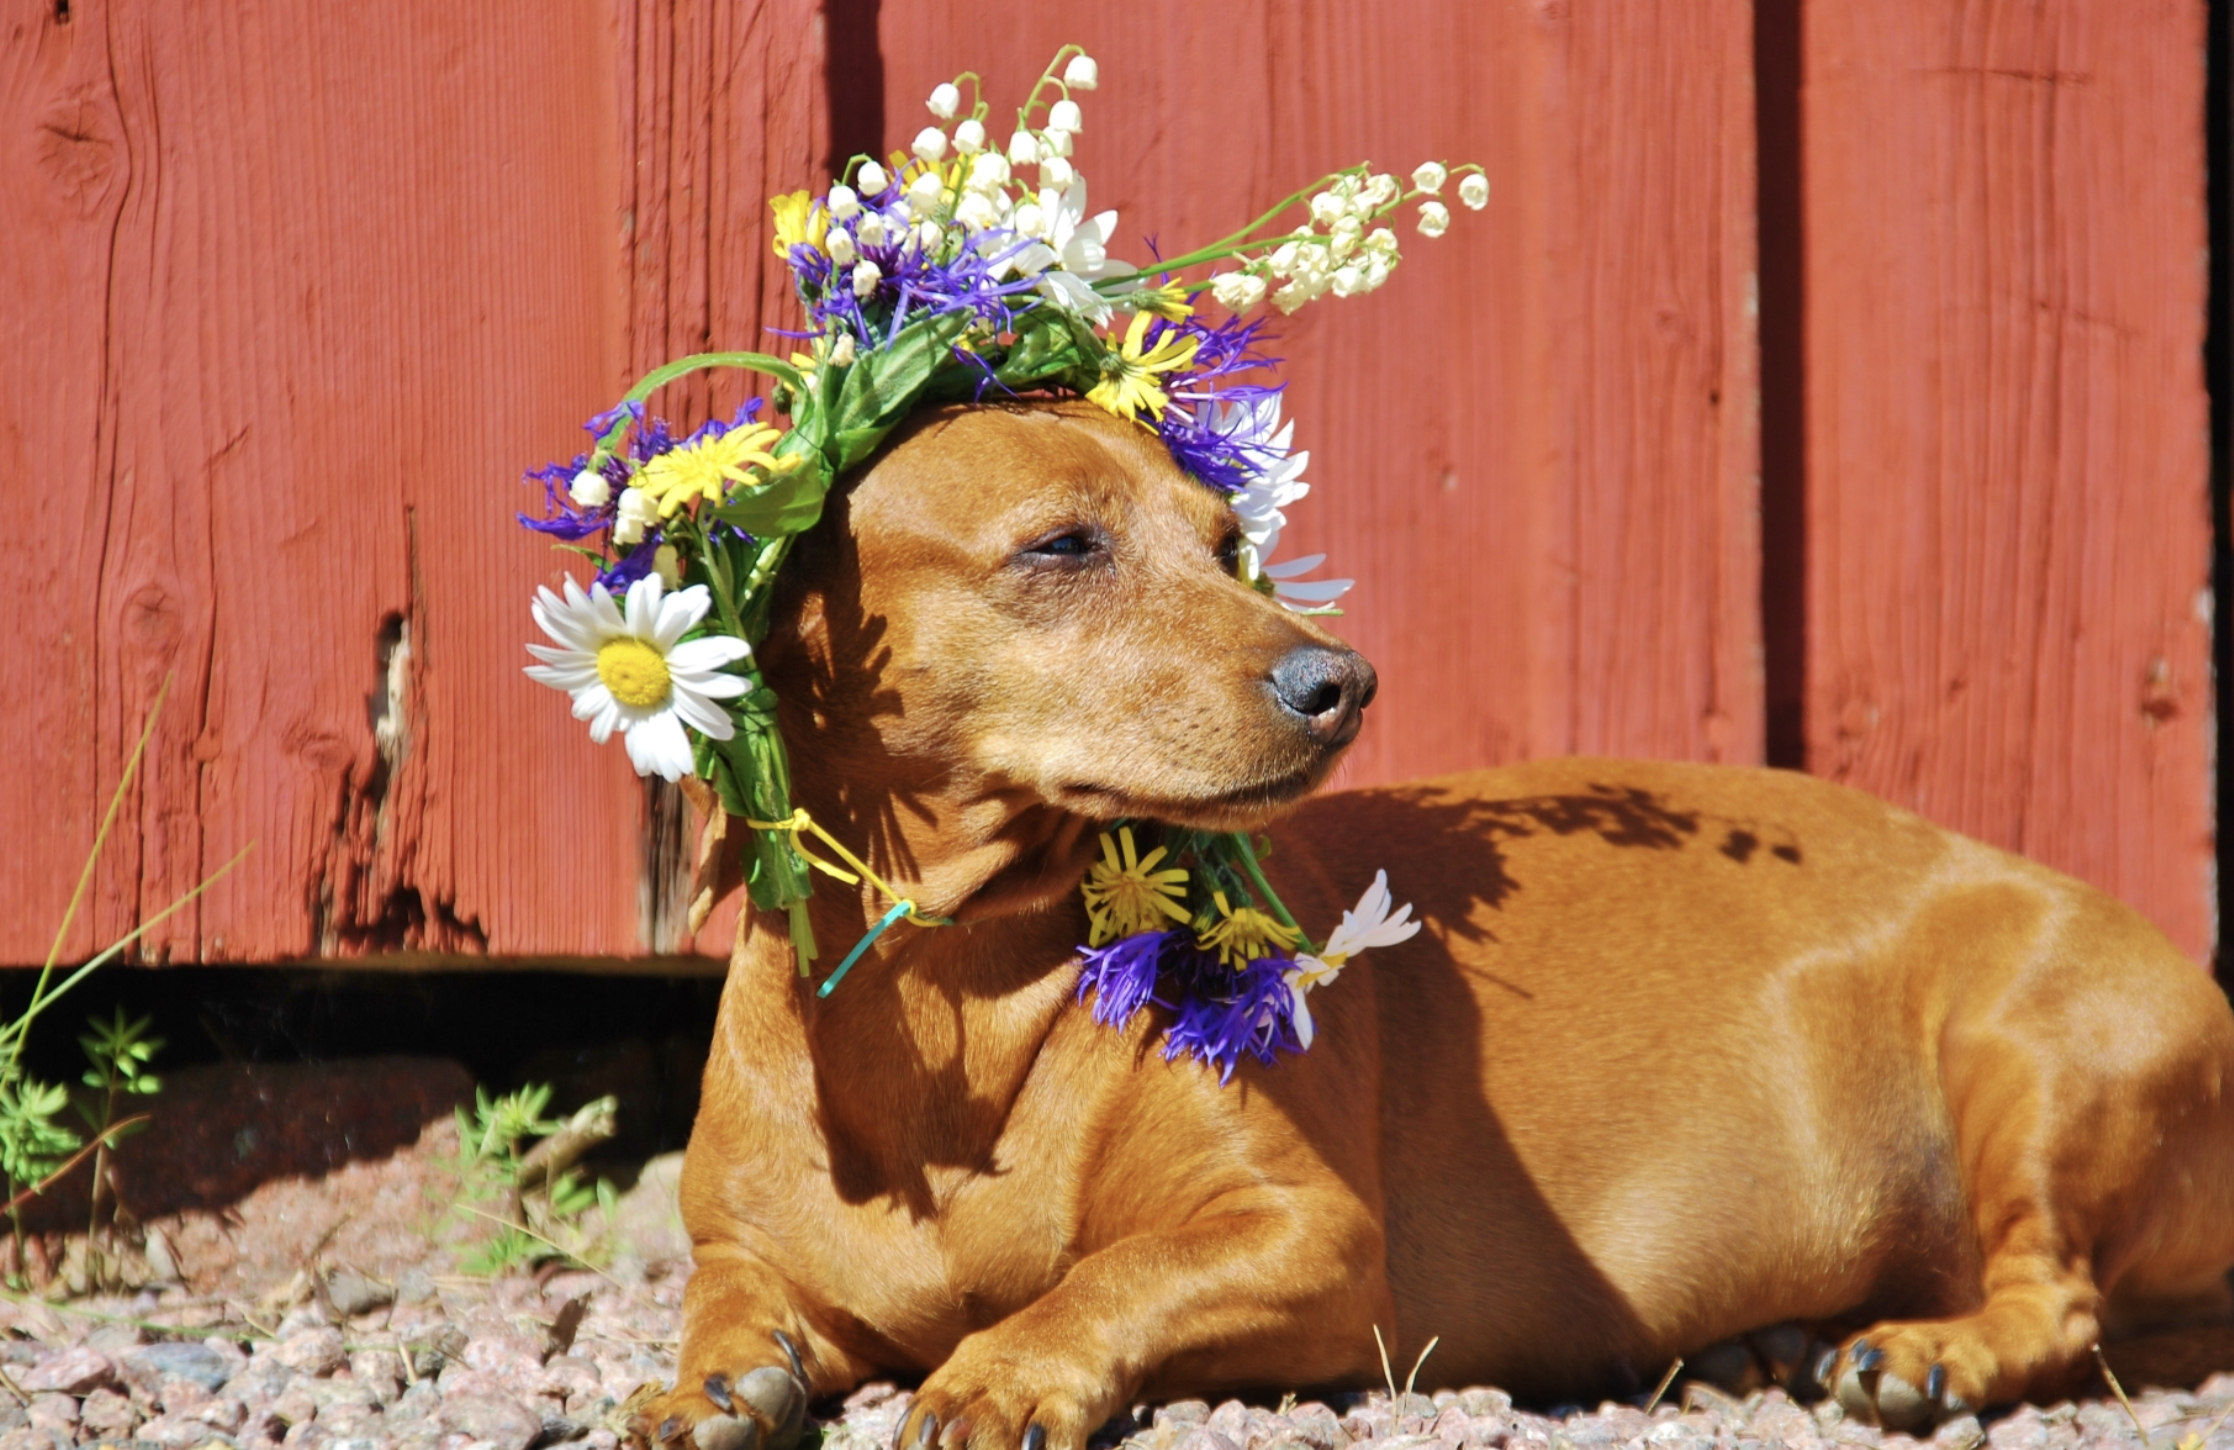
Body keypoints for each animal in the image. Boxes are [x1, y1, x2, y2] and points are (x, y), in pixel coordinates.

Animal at [647, 397, 2234, 1447]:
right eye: (1060, 546)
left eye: (1225, 540)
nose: (1340, 680)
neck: (955, 991)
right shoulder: (749, 1249)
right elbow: (725, 1297)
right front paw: (692, 1383)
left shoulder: (1305, 1236)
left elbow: (1112, 1273)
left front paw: (1004, 1360)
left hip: (2032, 1054)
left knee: (2058, 1299)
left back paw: (1926, 1353)